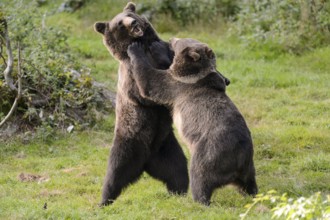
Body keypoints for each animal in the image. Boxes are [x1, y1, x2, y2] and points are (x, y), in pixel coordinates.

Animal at [94, 2, 189, 205]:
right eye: (119, 23)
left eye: (131, 15)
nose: (133, 23)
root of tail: (145, 163)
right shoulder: (129, 74)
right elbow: (145, 92)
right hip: (128, 142)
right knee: (114, 175)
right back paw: (104, 200)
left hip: (165, 146)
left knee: (177, 170)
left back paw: (179, 192)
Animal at [126, 38, 258, 205]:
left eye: (178, 42)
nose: (171, 39)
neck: (195, 75)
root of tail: (239, 159)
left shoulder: (175, 85)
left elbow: (149, 81)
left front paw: (136, 48)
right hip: (248, 165)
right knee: (249, 182)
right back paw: (252, 193)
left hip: (210, 152)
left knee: (200, 177)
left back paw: (198, 200)